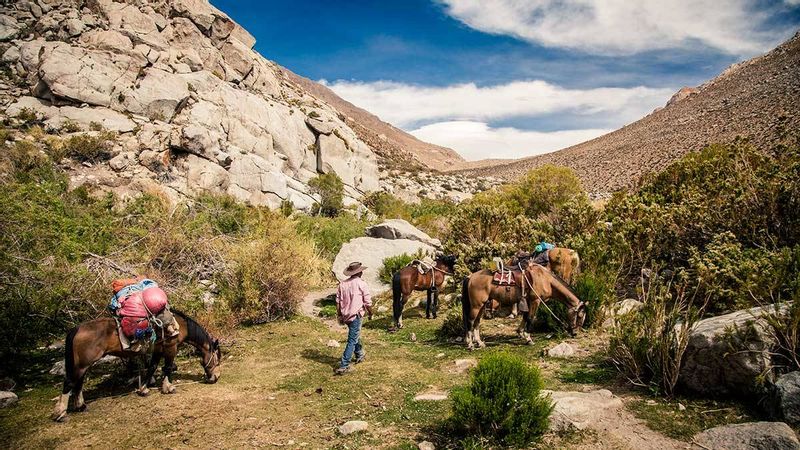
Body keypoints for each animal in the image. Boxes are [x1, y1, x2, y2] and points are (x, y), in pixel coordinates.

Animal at [52, 310, 222, 422]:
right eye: (217, 360)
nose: (215, 378)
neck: (181, 325)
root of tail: (76, 329)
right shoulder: (170, 347)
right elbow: (167, 367)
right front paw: (168, 388)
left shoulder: (157, 350)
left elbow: (152, 368)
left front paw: (144, 389)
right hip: (82, 364)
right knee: (70, 382)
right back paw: (61, 414)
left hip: (83, 365)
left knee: (78, 383)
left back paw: (81, 406)